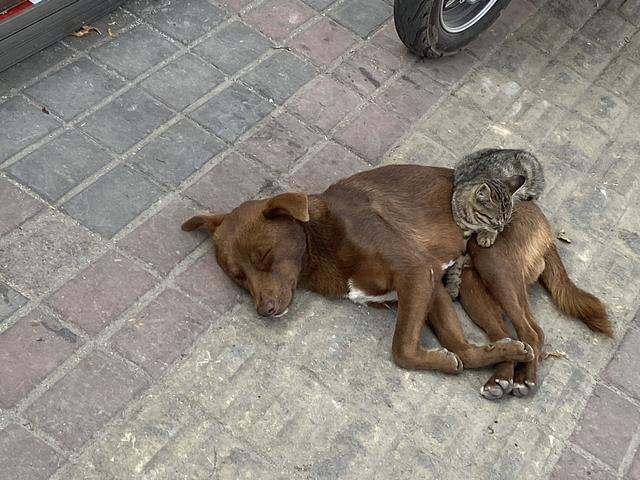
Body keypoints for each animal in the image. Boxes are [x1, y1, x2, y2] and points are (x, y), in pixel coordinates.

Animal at [181, 167, 608, 392]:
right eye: (239, 277)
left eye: (266, 257)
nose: (265, 310)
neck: (322, 239)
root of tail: (542, 220)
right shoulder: (430, 285)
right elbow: (460, 346)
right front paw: (466, 359)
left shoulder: (415, 273)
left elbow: (401, 348)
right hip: (471, 287)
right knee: (507, 332)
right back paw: (503, 371)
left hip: (494, 263)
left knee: (533, 332)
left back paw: (524, 377)